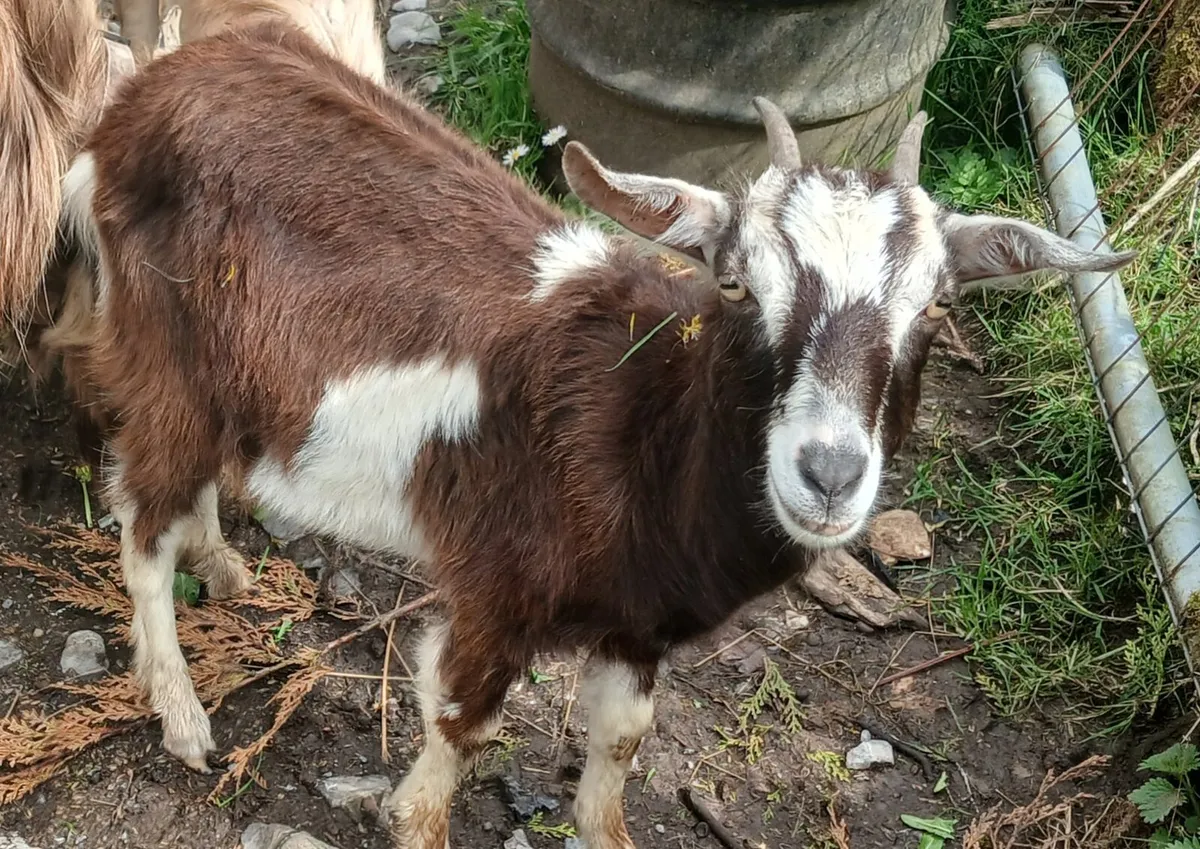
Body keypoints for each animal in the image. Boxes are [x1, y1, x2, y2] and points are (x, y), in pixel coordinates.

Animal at [51, 17, 1134, 849]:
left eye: (937, 308)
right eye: (735, 283)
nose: (828, 473)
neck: (634, 425)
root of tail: (134, 102)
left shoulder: (640, 622)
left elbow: (619, 744)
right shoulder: (495, 586)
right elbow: (458, 727)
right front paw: (417, 814)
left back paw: (226, 567)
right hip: (165, 353)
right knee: (138, 518)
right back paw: (183, 714)